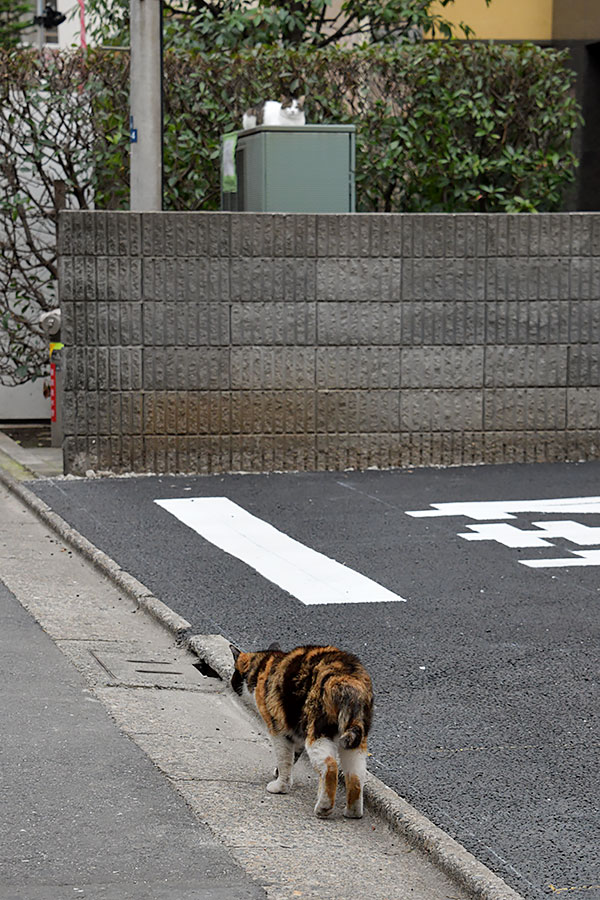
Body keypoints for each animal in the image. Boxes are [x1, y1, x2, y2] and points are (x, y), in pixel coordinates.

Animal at [232, 644, 372, 820]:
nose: (232, 683)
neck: (263, 666)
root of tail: (349, 682)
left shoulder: (278, 730)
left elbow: (285, 760)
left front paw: (281, 786)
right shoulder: (296, 733)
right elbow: (294, 757)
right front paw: (278, 773)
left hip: (318, 733)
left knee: (330, 766)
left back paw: (323, 808)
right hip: (353, 744)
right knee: (356, 775)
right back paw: (352, 812)